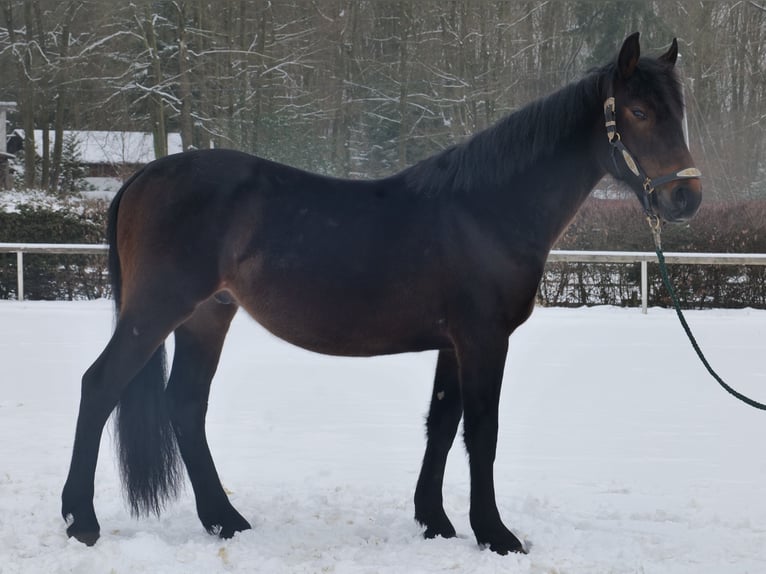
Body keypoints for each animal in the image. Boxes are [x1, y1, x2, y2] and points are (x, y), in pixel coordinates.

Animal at [61, 32, 701, 554]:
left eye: (681, 112)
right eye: (639, 111)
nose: (686, 198)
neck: (487, 210)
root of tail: (143, 177)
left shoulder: (453, 344)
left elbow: (441, 423)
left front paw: (434, 523)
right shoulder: (483, 339)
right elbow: (482, 431)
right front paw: (495, 535)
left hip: (207, 315)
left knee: (185, 405)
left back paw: (225, 521)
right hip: (157, 310)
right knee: (100, 386)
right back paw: (81, 521)